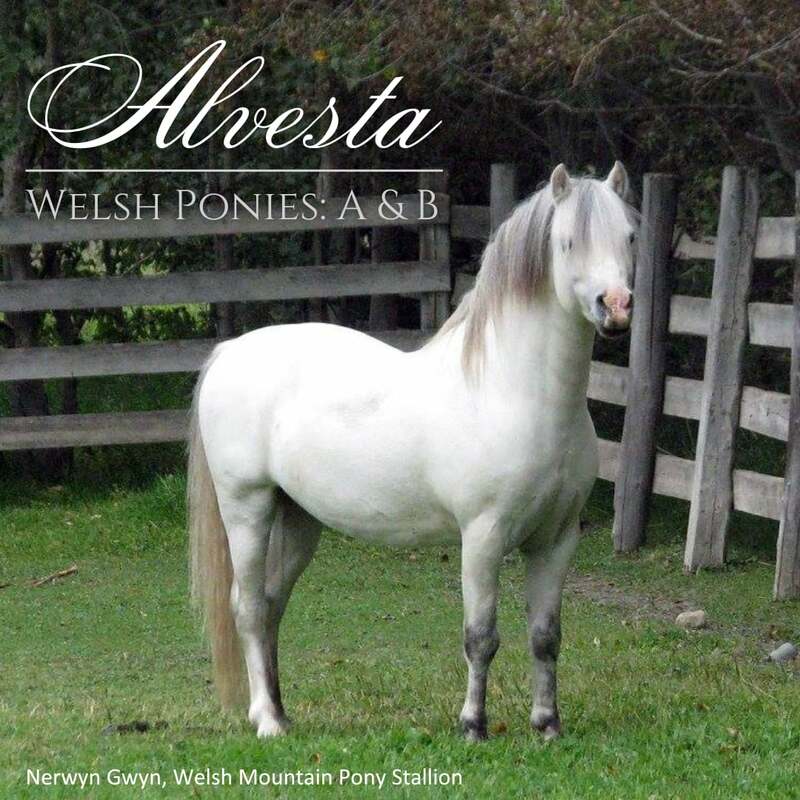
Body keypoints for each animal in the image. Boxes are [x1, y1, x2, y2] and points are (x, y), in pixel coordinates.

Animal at [188, 162, 637, 741]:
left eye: (630, 235)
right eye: (568, 242)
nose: (617, 307)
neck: (511, 391)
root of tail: (229, 352)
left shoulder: (556, 541)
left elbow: (545, 637)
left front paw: (547, 725)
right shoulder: (483, 537)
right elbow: (480, 636)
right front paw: (473, 725)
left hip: (297, 519)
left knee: (270, 606)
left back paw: (282, 712)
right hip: (247, 508)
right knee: (247, 609)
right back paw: (266, 719)